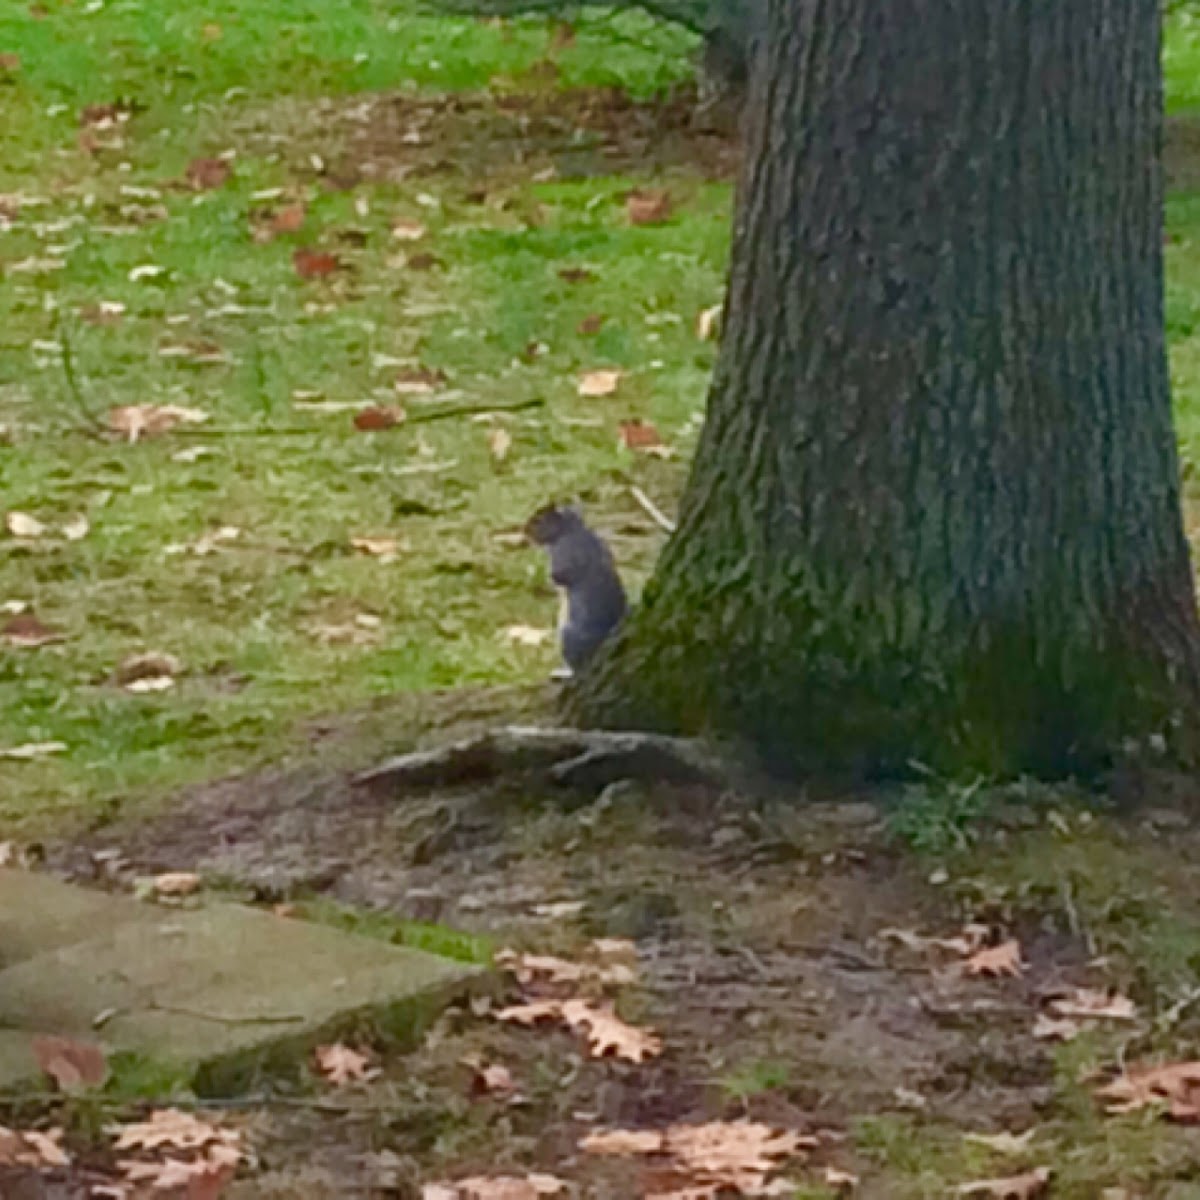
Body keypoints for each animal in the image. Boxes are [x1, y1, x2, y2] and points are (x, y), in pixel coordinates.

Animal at [530, 504, 633, 676]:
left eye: (539, 520)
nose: (523, 530)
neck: (571, 529)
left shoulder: (565, 552)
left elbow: (560, 575)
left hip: (569, 637)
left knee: (577, 668)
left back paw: (564, 672)